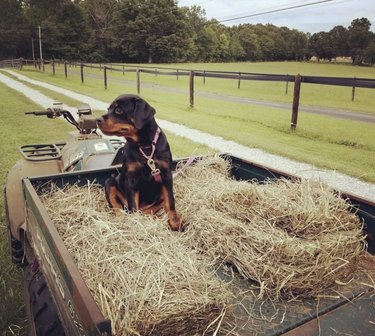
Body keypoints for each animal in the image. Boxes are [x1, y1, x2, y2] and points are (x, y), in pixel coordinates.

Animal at [96, 94, 183, 231]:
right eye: (108, 109)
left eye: (118, 110)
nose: (97, 120)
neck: (145, 145)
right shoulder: (131, 178)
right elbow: (133, 204)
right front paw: (135, 223)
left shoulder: (166, 175)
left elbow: (170, 201)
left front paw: (175, 222)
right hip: (109, 182)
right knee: (118, 207)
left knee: (152, 209)